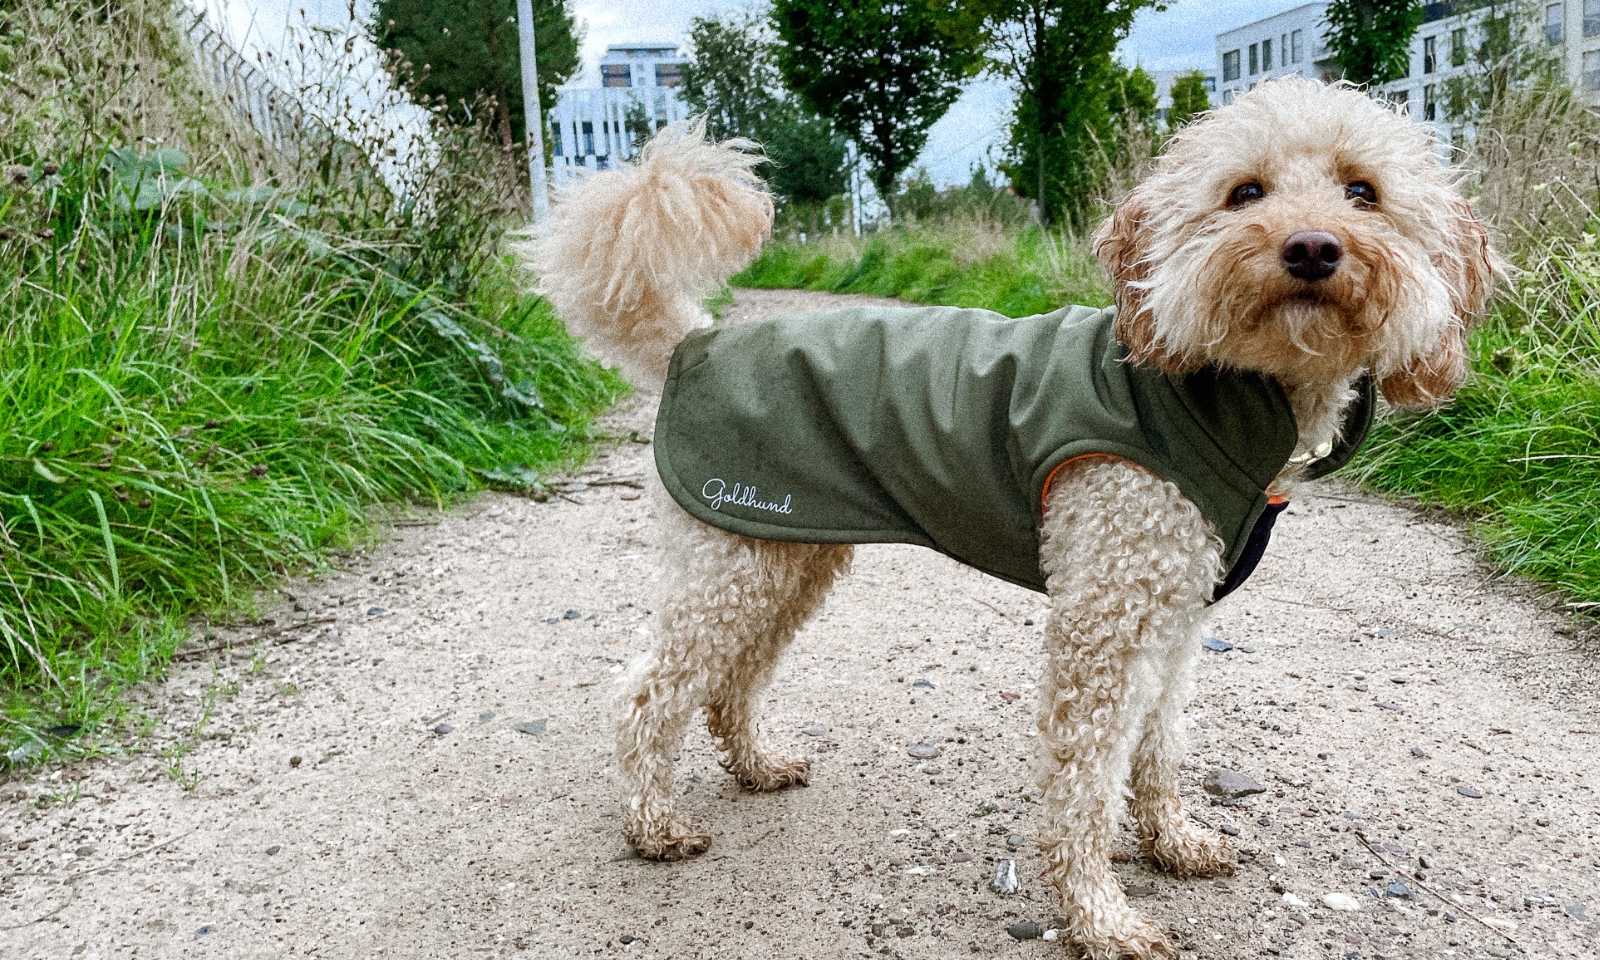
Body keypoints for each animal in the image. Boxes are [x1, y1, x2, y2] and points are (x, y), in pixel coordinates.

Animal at [534, 78, 1497, 953]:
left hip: (784, 555)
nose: (1312, 247)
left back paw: (760, 764)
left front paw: (1176, 842)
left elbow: (1162, 747)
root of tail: (693, 340)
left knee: (731, 680)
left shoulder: (1177, 615)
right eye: (1245, 192)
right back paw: (654, 824)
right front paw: (1100, 918)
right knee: (647, 692)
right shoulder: (1105, 618)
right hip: (732, 560)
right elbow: (1086, 784)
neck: (1212, 386)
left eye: (1363, 191)